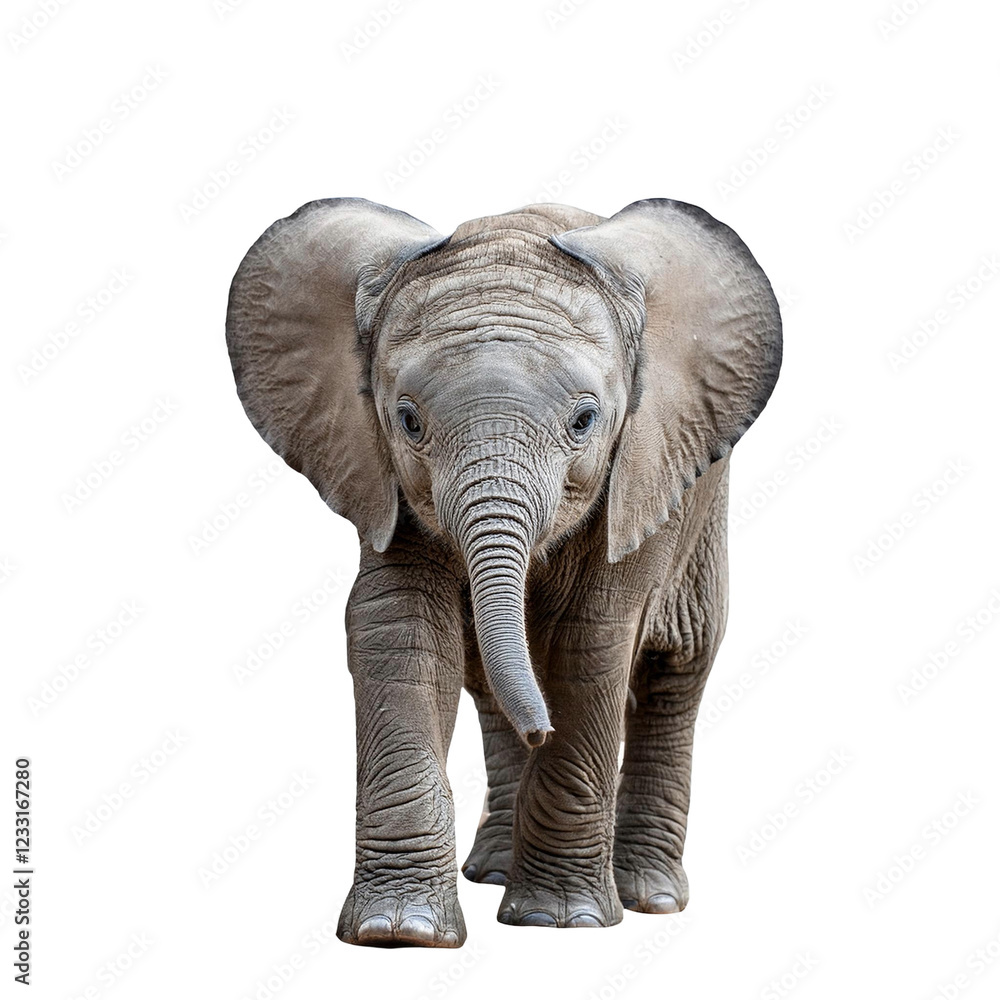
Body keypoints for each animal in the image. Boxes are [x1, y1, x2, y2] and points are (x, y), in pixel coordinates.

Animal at [225, 197, 781, 947]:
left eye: (585, 420)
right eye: (407, 421)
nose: (539, 729)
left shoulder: (642, 472)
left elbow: (590, 644)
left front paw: (559, 921)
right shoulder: (381, 481)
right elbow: (397, 630)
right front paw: (398, 932)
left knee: (676, 671)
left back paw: (649, 896)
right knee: (491, 682)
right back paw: (493, 871)